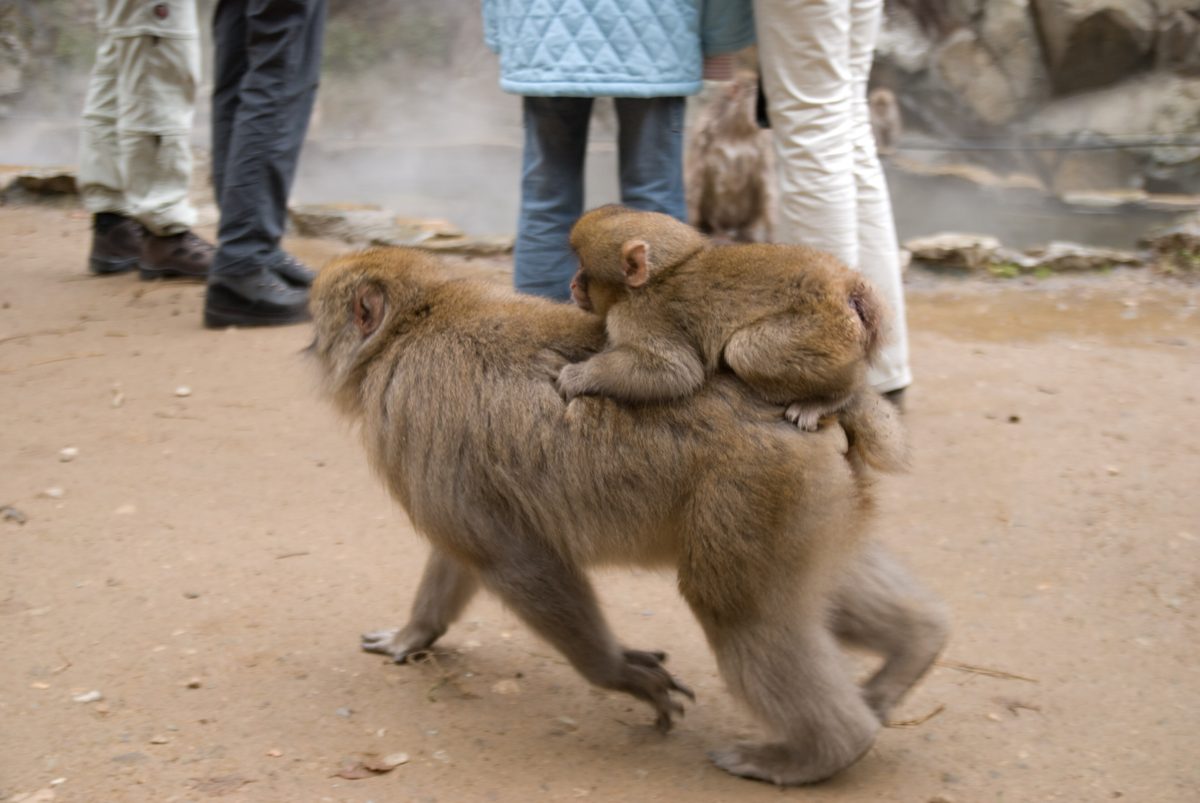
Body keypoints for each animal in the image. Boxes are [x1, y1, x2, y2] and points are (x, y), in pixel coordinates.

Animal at [308, 246, 947, 785]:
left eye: (318, 325)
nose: (310, 346)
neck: (414, 324)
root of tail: (836, 406)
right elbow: (462, 548)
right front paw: (415, 632)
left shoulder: (412, 417)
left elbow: (510, 558)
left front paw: (617, 672)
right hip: (812, 493)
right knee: (818, 583)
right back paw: (915, 648)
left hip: (757, 487)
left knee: (741, 612)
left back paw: (824, 752)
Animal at [561, 206, 903, 461]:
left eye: (583, 267)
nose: (573, 283)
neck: (660, 276)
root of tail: (847, 287)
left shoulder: (636, 317)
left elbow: (675, 372)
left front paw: (581, 375)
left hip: (824, 328)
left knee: (744, 350)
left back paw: (833, 398)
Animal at [685, 72, 775, 243]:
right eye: (758, 95)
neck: (737, 128)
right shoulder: (704, 132)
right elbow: (696, 178)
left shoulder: (762, 141)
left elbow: (766, 182)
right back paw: (719, 232)